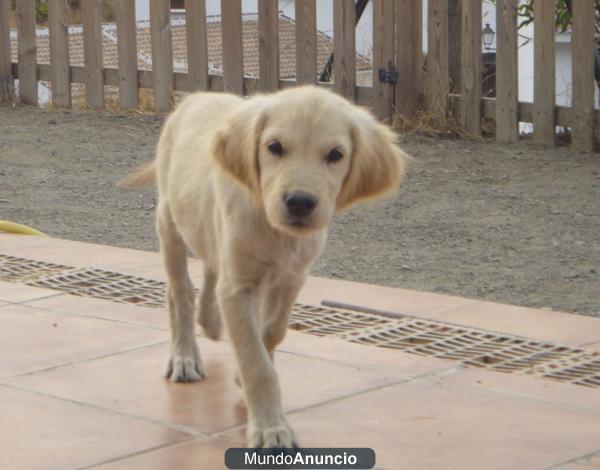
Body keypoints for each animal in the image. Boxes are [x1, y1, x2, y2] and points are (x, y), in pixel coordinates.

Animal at [124, 85, 410, 448]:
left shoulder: (291, 279)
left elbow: (272, 333)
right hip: (169, 220)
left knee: (211, 270)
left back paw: (211, 322)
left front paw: (243, 374)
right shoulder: (240, 287)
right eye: (274, 147)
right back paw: (184, 356)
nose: (300, 202)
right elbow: (256, 361)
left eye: (335, 155)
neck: (276, 231)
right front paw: (270, 428)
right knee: (180, 291)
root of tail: (198, 95)